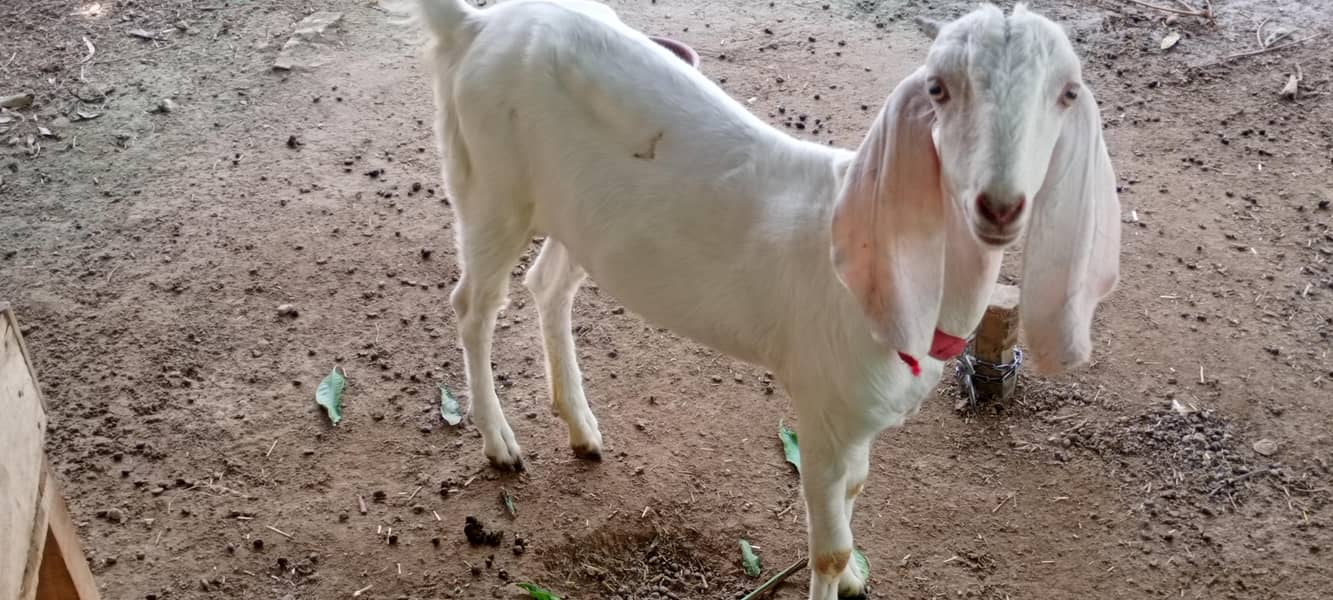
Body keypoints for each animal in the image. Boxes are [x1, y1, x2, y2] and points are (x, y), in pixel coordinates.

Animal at [400, 1, 1120, 597]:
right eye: (939, 89)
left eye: (1067, 93)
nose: (998, 205)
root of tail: (474, 24)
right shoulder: (824, 405)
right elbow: (827, 547)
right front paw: (841, 573)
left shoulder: (857, 416)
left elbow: (856, 493)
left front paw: (856, 575)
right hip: (489, 184)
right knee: (472, 306)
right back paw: (500, 442)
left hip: (575, 215)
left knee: (547, 286)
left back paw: (581, 429)